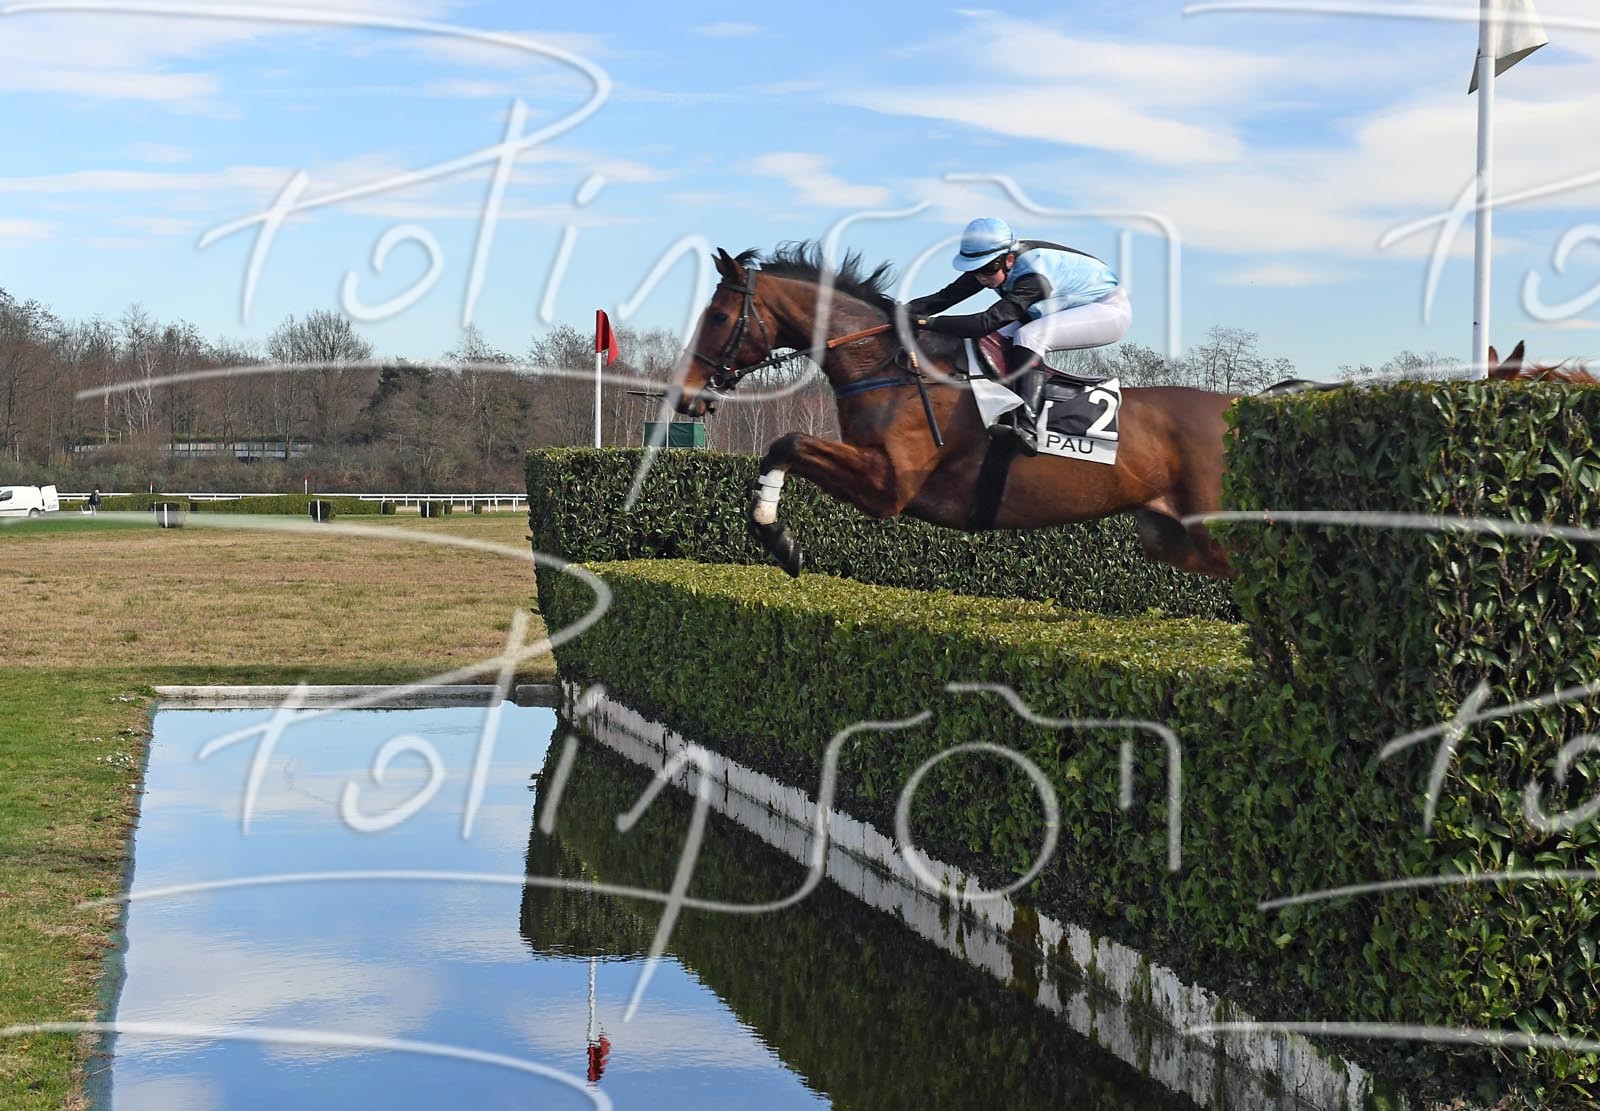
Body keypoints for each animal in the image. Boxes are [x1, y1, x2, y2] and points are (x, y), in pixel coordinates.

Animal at [669, 243, 1247, 579]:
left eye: (717, 317)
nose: (686, 394)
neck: (897, 367)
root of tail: (1245, 410)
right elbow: (781, 448)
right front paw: (775, 534)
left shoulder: (889, 485)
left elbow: (787, 442)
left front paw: (779, 539)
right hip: (1170, 537)